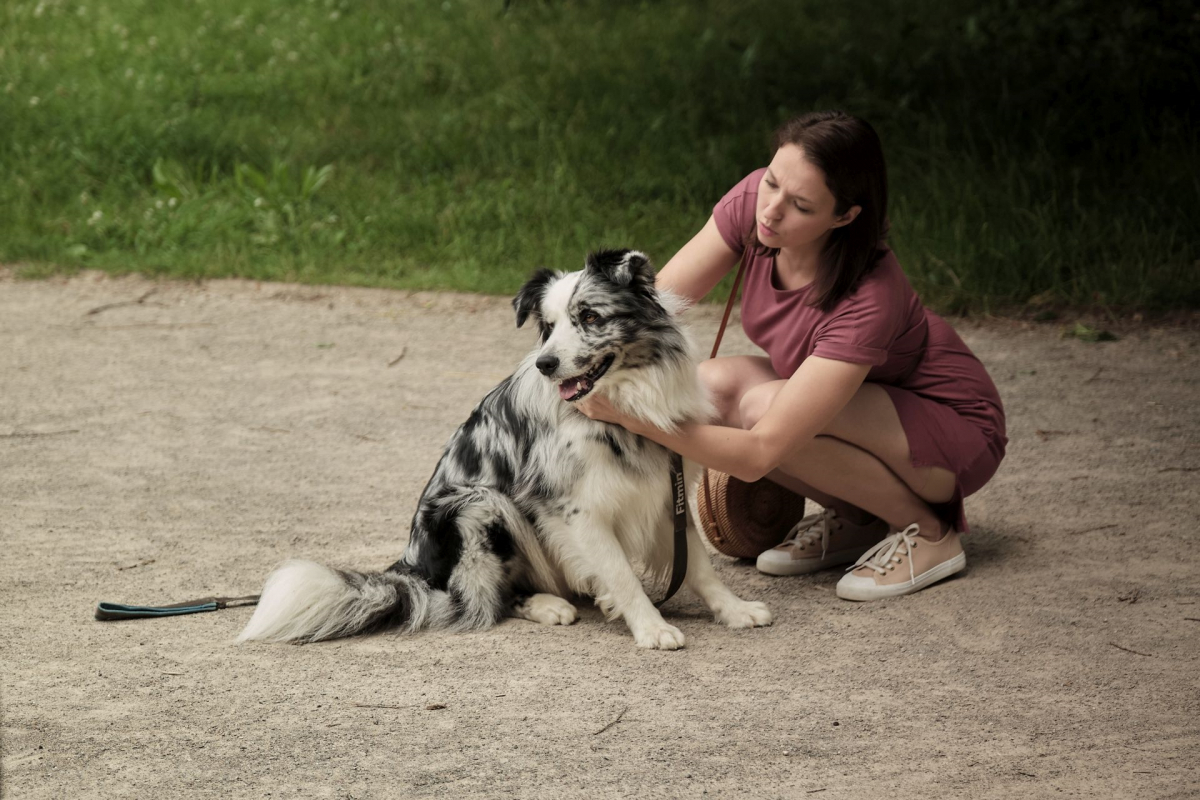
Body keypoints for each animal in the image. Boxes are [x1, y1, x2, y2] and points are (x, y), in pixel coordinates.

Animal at [238, 250, 772, 652]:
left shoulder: (664, 487)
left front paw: (734, 610)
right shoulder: (575, 508)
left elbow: (698, 565)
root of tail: (412, 568)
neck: (621, 404)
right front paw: (651, 627)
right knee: (484, 599)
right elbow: (621, 572)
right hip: (478, 504)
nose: (546, 364)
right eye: (548, 326)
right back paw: (547, 605)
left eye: (589, 317)